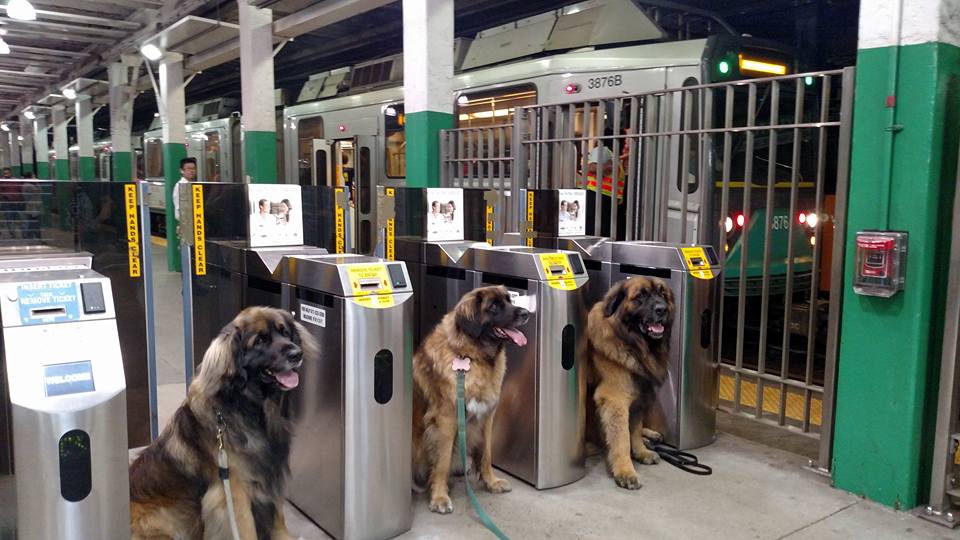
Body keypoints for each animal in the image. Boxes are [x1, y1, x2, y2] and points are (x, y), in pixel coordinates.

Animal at [125, 308, 316, 540]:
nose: (296, 354)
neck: (251, 408)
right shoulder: (233, 490)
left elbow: (278, 517)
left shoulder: (271, 473)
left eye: (285, 332)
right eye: (260, 340)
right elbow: (246, 529)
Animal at [412, 284, 532, 512]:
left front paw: (491, 482)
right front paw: (439, 497)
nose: (526, 313)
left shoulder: (486, 416)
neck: (470, 356)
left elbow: (486, 454)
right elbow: (441, 462)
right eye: (494, 307)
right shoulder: (446, 420)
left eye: (509, 300)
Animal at [584, 278, 676, 490]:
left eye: (662, 294)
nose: (662, 309)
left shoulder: (640, 396)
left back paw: (650, 436)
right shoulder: (615, 400)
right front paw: (625, 472)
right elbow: (623, 438)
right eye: (640, 296)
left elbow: (633, 429)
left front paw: (641, 451)